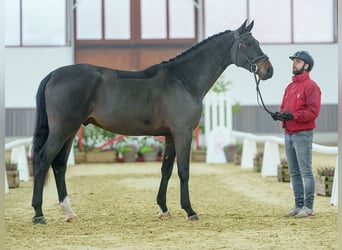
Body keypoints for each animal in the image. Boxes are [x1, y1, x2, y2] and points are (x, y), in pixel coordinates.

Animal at [31, 21, 272, 225]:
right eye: (246, 43)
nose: (268, 70)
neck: (184, 79)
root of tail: (53, 75)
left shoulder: (170, 135)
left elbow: (166, 169)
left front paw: (164, 209)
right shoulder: (182, 133)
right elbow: (183, 170)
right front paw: (190, 210)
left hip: (70, 131)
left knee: (59, 166)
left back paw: (69, 212)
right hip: (62, 130)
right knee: (43, 160)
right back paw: (38, 214)